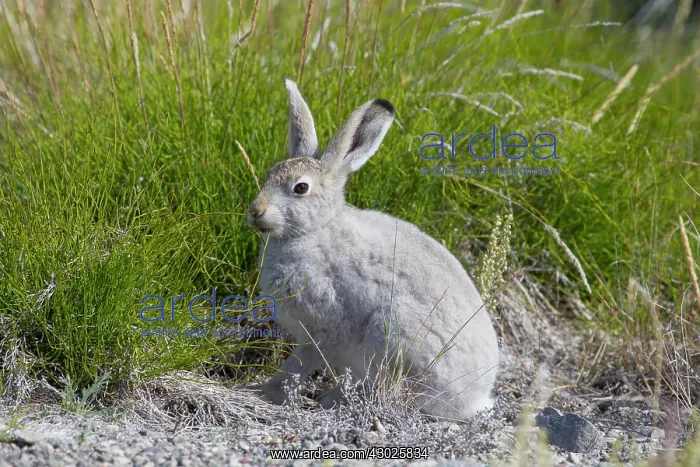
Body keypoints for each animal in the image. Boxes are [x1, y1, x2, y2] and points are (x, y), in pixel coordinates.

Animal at [245, 78, 500, 420]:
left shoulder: (325, 327)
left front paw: (267, 393)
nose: (255, 211)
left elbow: (299, 364)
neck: (316, 230)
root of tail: (475, 397)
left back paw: (334, 399)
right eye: (270, 175)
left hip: (392, 334)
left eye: (301, 188)